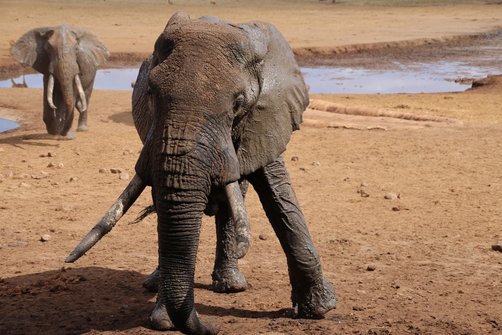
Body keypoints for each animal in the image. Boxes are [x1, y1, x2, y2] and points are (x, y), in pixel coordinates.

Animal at [64, 11, 336, 334]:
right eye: (150, 94)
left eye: (238, 103)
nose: (212, 326)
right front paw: (163, 321)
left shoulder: (268, 117)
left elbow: (280, 197)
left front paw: (320, 310)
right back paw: (156, 282)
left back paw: (231, 285)